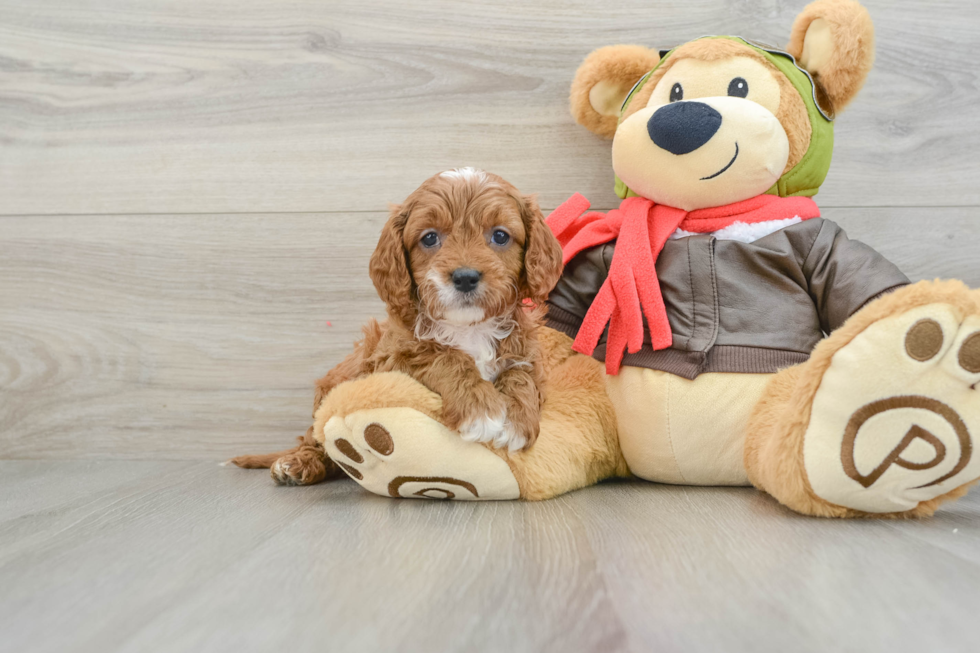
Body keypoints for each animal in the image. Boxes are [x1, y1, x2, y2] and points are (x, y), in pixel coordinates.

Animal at [231, 168, 564, 484]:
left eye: (500, 236)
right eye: (429, 238)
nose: (465, 277)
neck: (468, 328)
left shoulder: (526, 350)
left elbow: (521, 375)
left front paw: (517, 421)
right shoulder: (392, 359)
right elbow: (443, 357)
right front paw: (480, 410)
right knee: (315, 440)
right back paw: (297, 463)